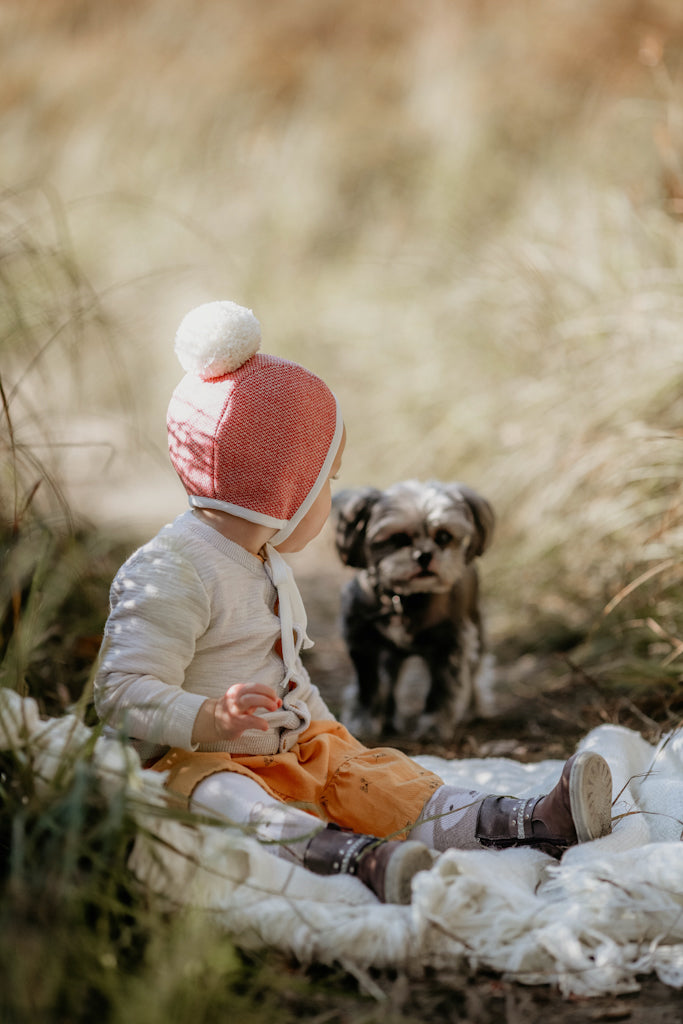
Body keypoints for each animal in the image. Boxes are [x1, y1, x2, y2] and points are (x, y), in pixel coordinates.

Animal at [329, 479, 493, 745]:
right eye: (398, 538)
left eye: (443, 536)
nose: (424, 555)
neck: (405, 599)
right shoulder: (363, 642)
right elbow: (368, 686)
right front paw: (363, 723)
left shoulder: (451, 647)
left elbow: (441, 691)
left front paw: (434, 727)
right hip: (391, 656)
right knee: (390, 682)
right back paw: (389, 718)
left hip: (475, 634)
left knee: (475, 673)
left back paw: (475, 708)